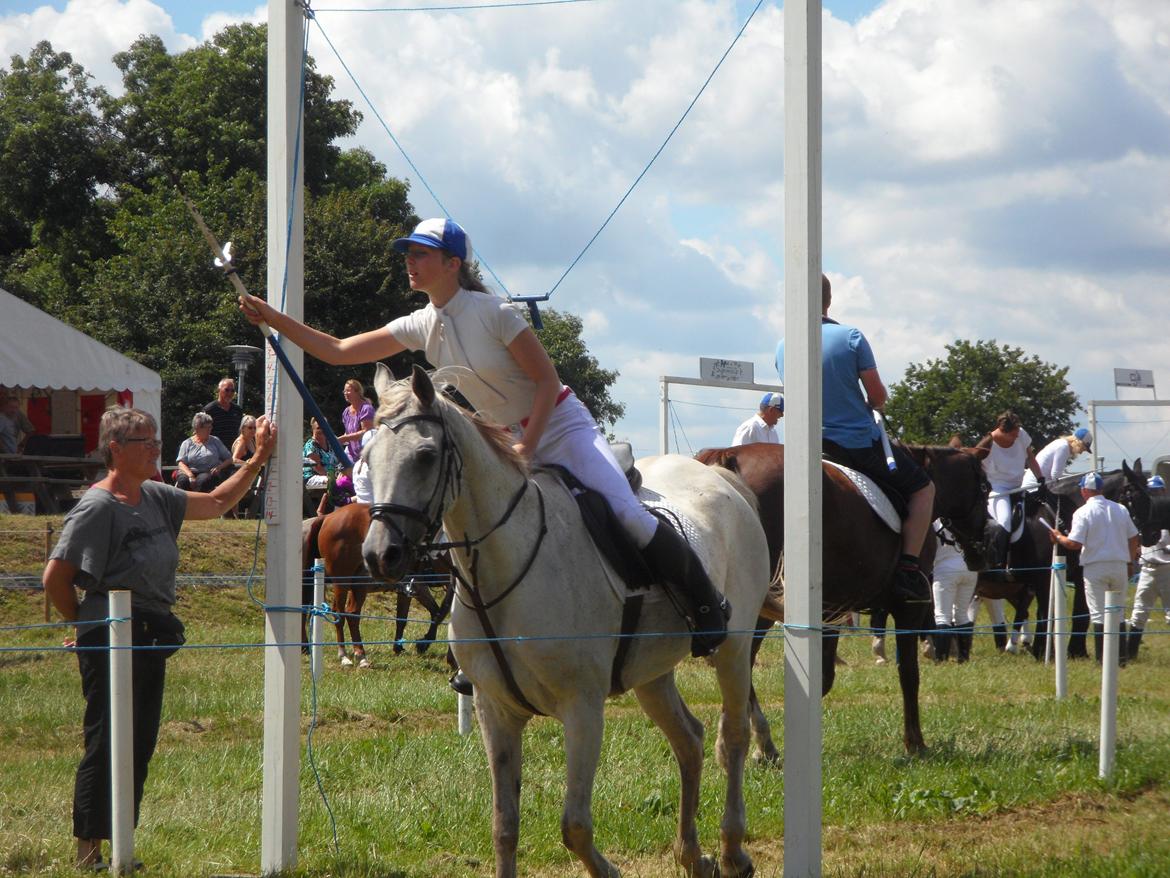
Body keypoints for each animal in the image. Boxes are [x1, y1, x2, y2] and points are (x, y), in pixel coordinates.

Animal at [299, 501, 453, 664]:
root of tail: (327, 518)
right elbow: (442, 611)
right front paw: (425, 644)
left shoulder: (414, 587)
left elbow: (408, 616)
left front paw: (400, 647)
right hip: (342, 582)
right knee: (341, 613)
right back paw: (345, 654)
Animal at [697, 442, 992, 758]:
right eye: (985, 488)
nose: (984, 545)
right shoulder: (907, 610)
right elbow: (908, 674)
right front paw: (915, 742)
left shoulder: (830, 611)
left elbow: (824, 677)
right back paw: (761, 742)